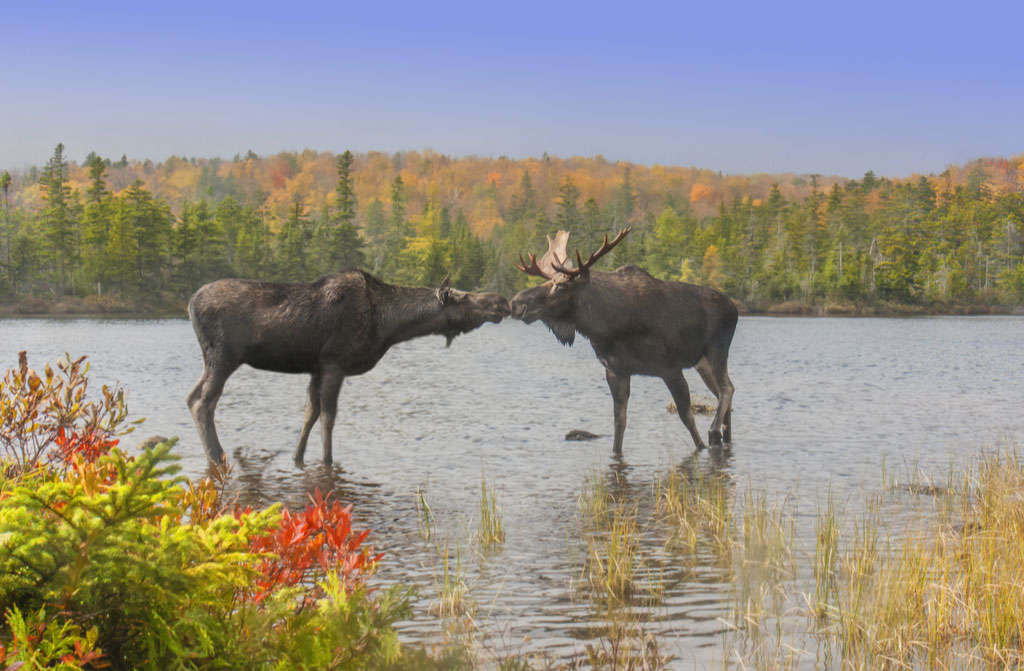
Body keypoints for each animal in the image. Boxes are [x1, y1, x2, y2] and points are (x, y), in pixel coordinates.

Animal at [186, 270, 509, 465]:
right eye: (463, 296)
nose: (502, 301)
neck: (388, 325)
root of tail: (189, 303)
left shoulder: (316, 368)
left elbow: (309, 414)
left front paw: (297, 457)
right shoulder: (334, 364)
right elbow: (328, 417)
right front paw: (327, 460)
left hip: (213, 360)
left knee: (192, 397)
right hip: (223, 357)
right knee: (202, 402)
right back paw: (217, 455)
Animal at [512, 228, 737, 454]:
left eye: (560, 286)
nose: (516, 303)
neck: (607, 325)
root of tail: (734, 308)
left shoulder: (670, 369)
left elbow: (687, 418)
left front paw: (702, 444)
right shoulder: (616, 371)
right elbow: (619, 423)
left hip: (717, 351)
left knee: (727, 389)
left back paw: (714, 431)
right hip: (701, 363)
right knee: (724, 391)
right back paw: (725, 435)